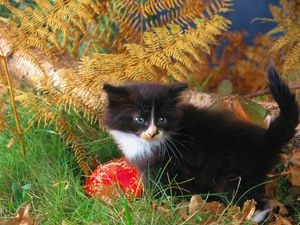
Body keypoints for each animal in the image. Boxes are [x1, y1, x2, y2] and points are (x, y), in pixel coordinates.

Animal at [102, 68, 298, 220]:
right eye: (140, 119)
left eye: (162, 119)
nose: (153, 132)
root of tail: (267, 140)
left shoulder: (162, 166)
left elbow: (159, 187)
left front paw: (151, 207)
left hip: (233, 172)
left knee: (248, 198)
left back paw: (246, 217)